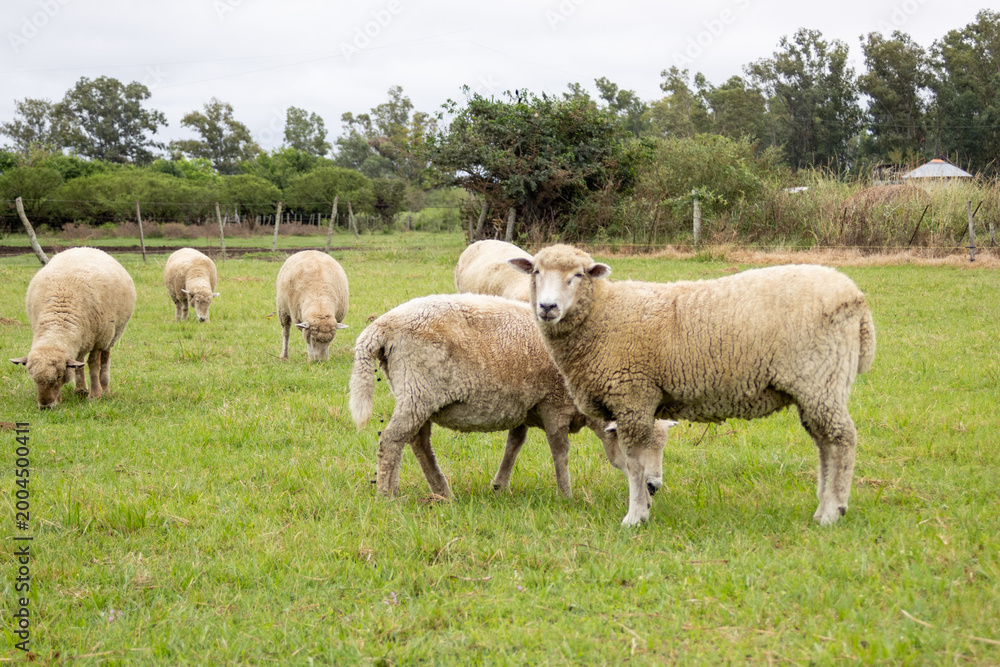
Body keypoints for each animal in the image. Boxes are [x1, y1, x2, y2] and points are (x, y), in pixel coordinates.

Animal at [10, 247, 136, 409]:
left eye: (59, 376)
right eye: (33, 378)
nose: (46, 406)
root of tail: (84, 248)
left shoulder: (98, 341)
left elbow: (94, 366)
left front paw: (95, 395)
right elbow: (77, 365)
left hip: (112, 334)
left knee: (105, 359)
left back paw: (105, 389)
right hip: (83, 338)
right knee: (79, 360)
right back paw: (80, 389)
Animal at [349, 293, 675, 499]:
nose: (653, 486)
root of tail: (381, 327)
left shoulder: (525, 407)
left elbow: (514, 445)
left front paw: (499, 487)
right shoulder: (553, 404)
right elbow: (560, 451)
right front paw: (567, 495)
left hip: (418, 396)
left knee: (418, 441)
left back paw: (440, 491)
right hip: (418, 391)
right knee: (392, 439)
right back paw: (386, 495)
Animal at [510, 244, 876, 527]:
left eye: (578, 275)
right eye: (536, 271)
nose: (547, 307)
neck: (602, 314)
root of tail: (856, 297)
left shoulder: (633, 395)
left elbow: (634, 463)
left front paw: (635, 517)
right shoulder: (634, 401)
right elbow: (635, 464)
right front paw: (642, 508)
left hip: (821, 379)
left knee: (841, 440)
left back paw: (832, 512)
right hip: (816, 388)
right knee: (825, 444)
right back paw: (825, 507)